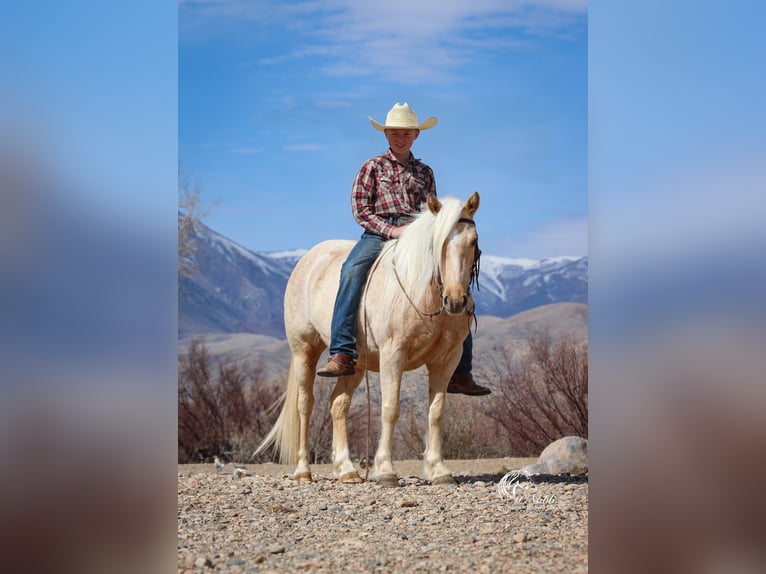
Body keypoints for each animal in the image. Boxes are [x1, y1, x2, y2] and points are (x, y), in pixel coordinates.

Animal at [255, 192, 480, 486]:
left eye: (473, 241)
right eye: (437, 243)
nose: (455, 301)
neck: (422, 293)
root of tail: (308, 260)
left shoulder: (446, 361)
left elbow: (437, 412)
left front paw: (439, 470)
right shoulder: (393, 355)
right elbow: (390, 408)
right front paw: (385, 470)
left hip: (354, 365)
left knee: (338, 405)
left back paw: (346, 469)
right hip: (304, 349)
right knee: (305, 405)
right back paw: (304, 471)